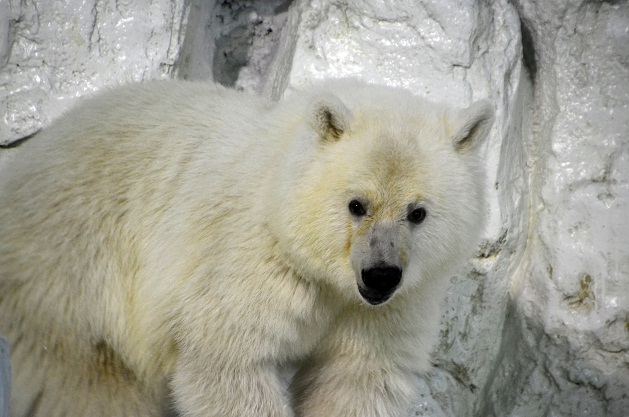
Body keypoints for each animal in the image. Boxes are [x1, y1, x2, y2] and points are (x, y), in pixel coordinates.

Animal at [0, 79, 490, 416]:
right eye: (357, 204)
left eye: (417, 212)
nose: (380, 274)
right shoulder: (241, 262)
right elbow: (228, 362)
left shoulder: (390, 307)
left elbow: (357, 379)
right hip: (76, 276)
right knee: (90, 385)